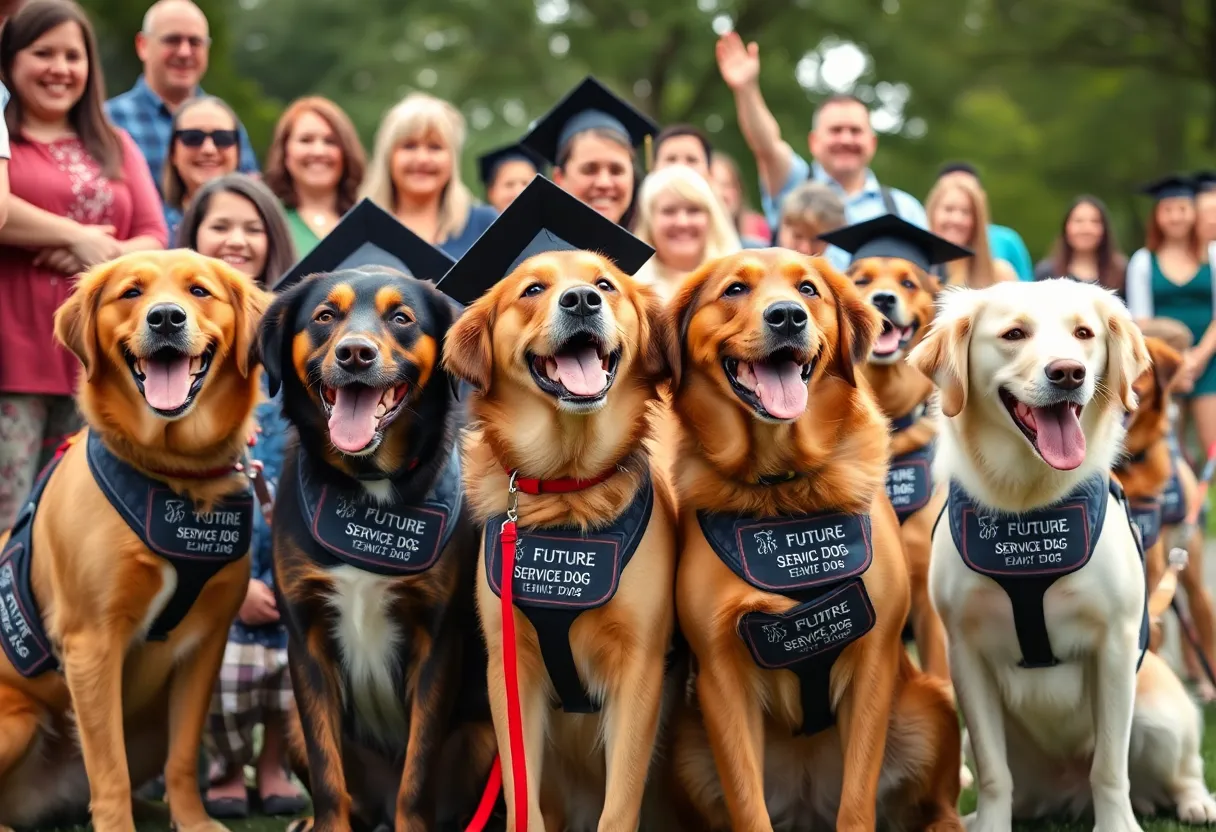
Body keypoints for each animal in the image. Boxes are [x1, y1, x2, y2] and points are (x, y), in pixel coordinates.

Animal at [0, 251, 267, 832]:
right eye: (131, 293)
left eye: (199, 290)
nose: (165, 318)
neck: (172, 473)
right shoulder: (91, 644)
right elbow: (109, 770)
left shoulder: (205, 644)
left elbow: (183, 757)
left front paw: (192, 820)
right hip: (19, 718)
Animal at [440, 178, 685, 827]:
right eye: (532, 289)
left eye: (606, 284)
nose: (580, 301)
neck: (568, 488)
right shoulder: (511, 668)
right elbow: (522, 799)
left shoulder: (640, 670)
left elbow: (618, 806)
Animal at [661, 248, 963, 832]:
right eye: (734, 290)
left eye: (808, 289)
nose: (787, 316)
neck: (783, 489)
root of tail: (806, 804)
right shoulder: (721, 676)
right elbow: (748, 806)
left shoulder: (874, 659)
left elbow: (858, 803)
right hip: (685, 744)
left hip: (930, 705)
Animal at [914, 280, 1216, 832]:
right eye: (1014, 334)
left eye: (1083, 334)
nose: (1068, 372)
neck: (1028, 506)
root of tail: (1064, 795)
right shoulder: (965, 652)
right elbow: (994, 774)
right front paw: (989, 824)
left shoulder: (1115, 645)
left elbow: (1109, 766)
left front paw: (1116, 825)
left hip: (1162, 716)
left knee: (1182, 768)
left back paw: (1195, 802)